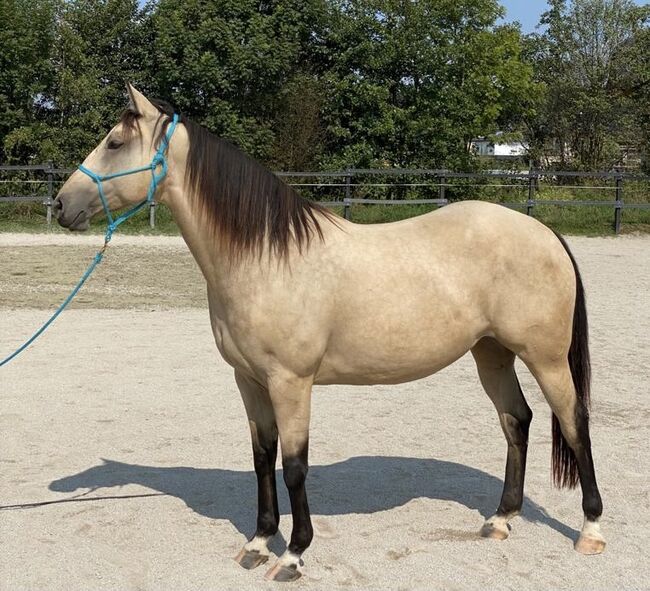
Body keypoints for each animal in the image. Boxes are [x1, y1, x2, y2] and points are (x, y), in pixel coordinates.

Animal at [53, 84, 604, 584]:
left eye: (115, 143)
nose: (59, 205)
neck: (264, 258)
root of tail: (543, 232)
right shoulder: (249, 381)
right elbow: (262, 458)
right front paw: (258, 543)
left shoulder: (291, 382)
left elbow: (295, 465)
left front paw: (294, 554)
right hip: (491, 353)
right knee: (516, 420)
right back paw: (502, 519)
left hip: (545, 357)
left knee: (573, 422)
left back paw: (591, 529)